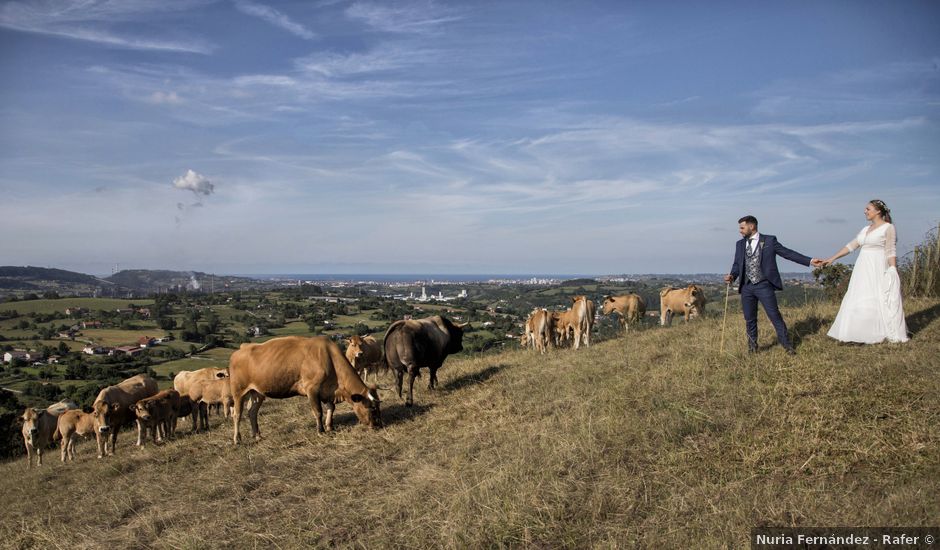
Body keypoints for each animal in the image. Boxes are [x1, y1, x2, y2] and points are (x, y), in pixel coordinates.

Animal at [228, 334, 382, 446]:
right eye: (371, 408)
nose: (378, 425)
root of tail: (242, 348)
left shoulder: (328, 391)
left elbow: (331, 408)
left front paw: (329, 427)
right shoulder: (312, 389)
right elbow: (318, 411)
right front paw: (320, 431)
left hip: (258, 392)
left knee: (252, 412)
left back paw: (258, 436)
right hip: (238, 391)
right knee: (237, 414)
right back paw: (237, 439)